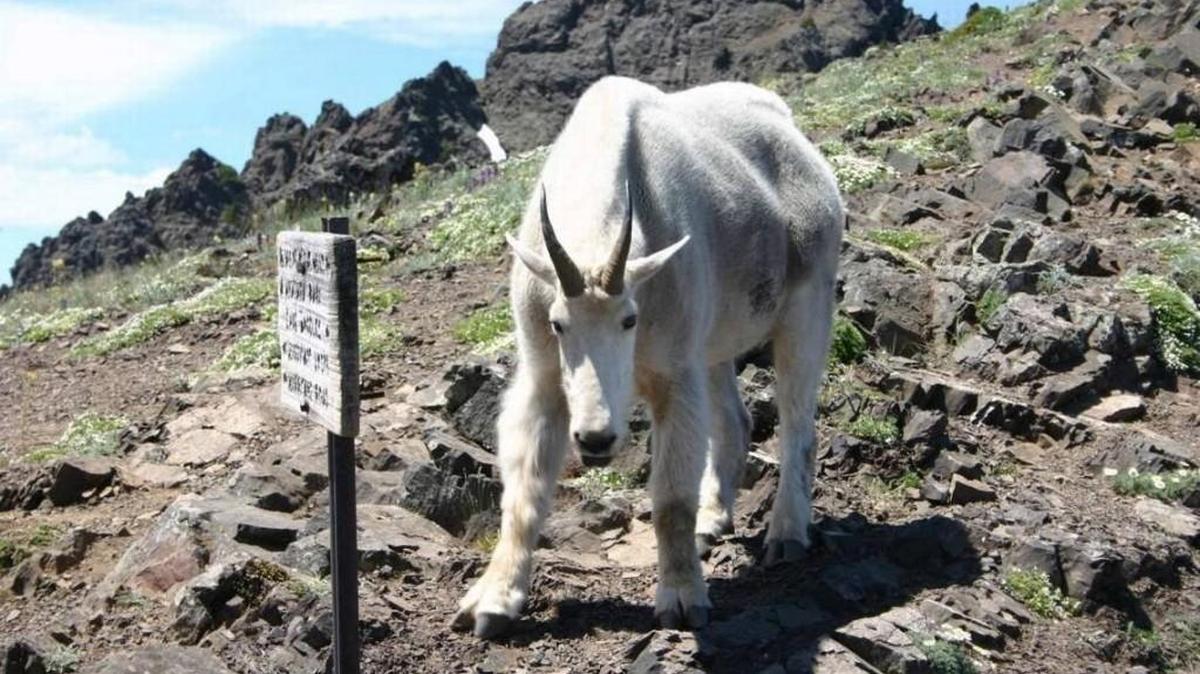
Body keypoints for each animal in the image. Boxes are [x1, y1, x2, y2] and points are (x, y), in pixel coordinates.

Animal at [453, 76, 843, 638]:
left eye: (630, 321)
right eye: (557, 323)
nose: (596, 438)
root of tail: (793, 132)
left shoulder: (673, 373)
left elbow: (671, 497)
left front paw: (681, 599)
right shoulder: (545, 374)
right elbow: (525, 490)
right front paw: (494, 601)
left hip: (808, 301)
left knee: (798, 424)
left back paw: (787, 534)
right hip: (714, 339)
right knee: (735, 419)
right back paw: (713, 520)